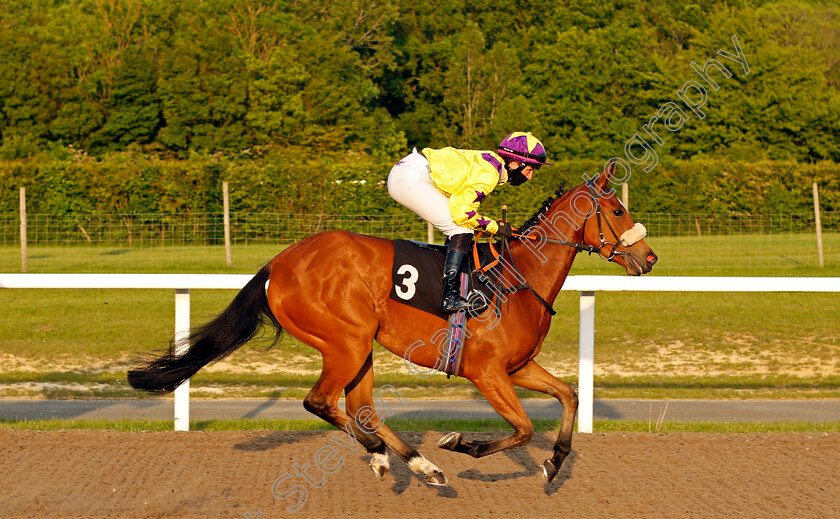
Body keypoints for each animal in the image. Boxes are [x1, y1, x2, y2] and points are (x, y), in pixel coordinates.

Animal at [130, 164, 656, 488]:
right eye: (617, 210)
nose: (649, 257)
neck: (516, 277)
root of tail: (278, 264)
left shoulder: (518, 366)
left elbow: (569, 395)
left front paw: (554, 462)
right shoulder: (486, 372)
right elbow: (524, 428)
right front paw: (463, 443)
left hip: (359, 347)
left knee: (360, 408)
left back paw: (413, 463)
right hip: (346, 340)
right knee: (321, 402)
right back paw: (392, 454)